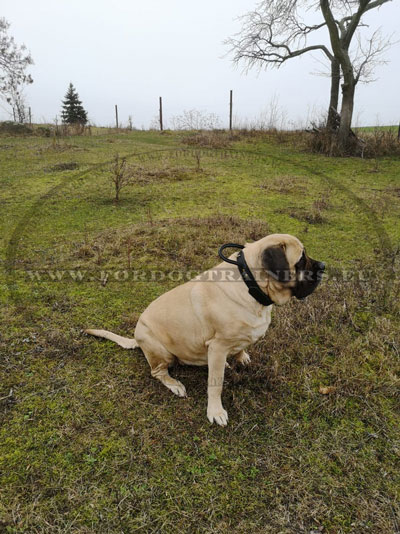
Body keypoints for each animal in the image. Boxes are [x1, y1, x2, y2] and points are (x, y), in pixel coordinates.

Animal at [85, 234, 324, 428]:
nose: (322, 265)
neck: (251, 285)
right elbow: (215, 386)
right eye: (301, 259)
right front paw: (215, 411)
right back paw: (175, 384)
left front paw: (241, 356)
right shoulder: (217, 347)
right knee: (158, 372)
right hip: (161, 352)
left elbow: (240, 348)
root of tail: (136, 337)